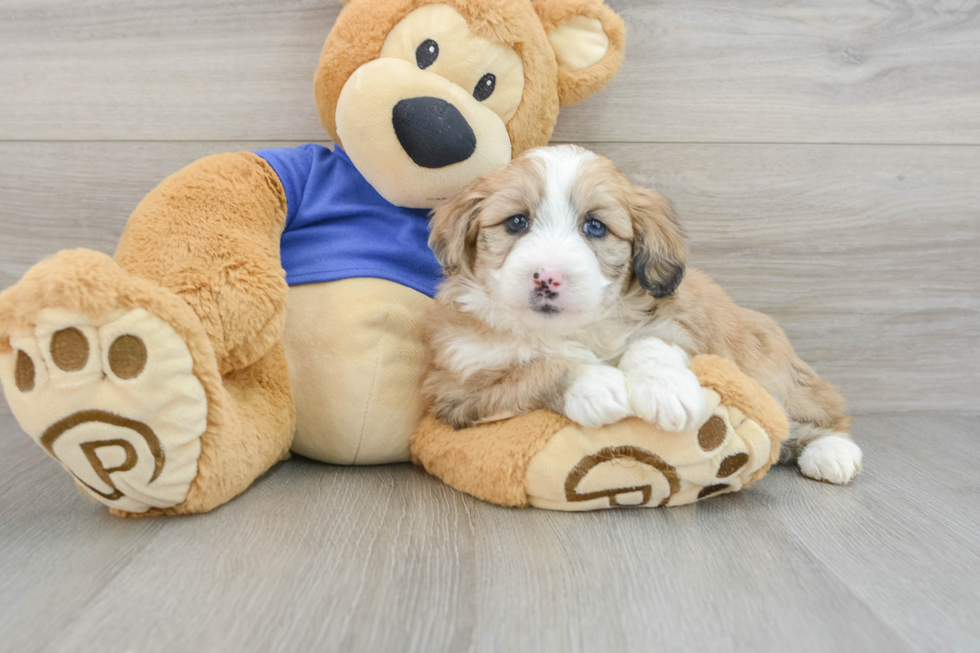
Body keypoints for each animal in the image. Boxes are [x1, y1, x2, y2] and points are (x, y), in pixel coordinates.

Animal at [424, 148, 860, 484]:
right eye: (516, 221)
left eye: (595, 226)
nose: (548, 276)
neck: (573, 329)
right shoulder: (458, 388)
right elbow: (533, 369)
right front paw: (595, 384)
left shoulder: (678, 325)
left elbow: (652, 341)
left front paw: (667, 389)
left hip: (771, 369)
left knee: (821, 413)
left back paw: (832, 452)